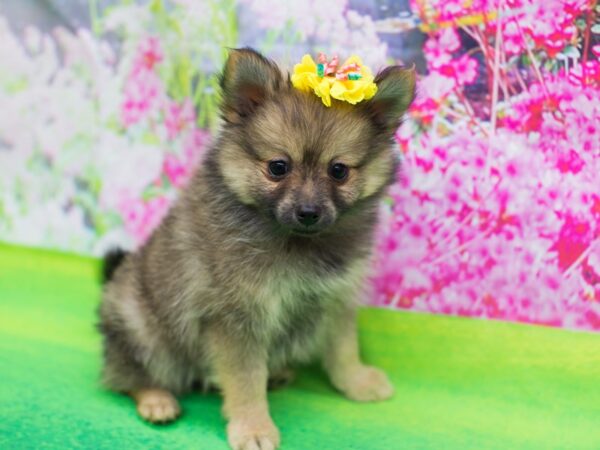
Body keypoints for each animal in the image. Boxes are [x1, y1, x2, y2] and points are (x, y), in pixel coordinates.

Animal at [99, 48, 418, 450]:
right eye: (278, 167)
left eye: (339, 171)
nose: (308, 212)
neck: (297, 242)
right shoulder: (237, 319)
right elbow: (245, 380)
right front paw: (253, 427)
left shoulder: (335, 298)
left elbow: (343, 348)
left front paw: (356, 381)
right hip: (140, 327)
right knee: (131, 375)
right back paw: (156, 399)